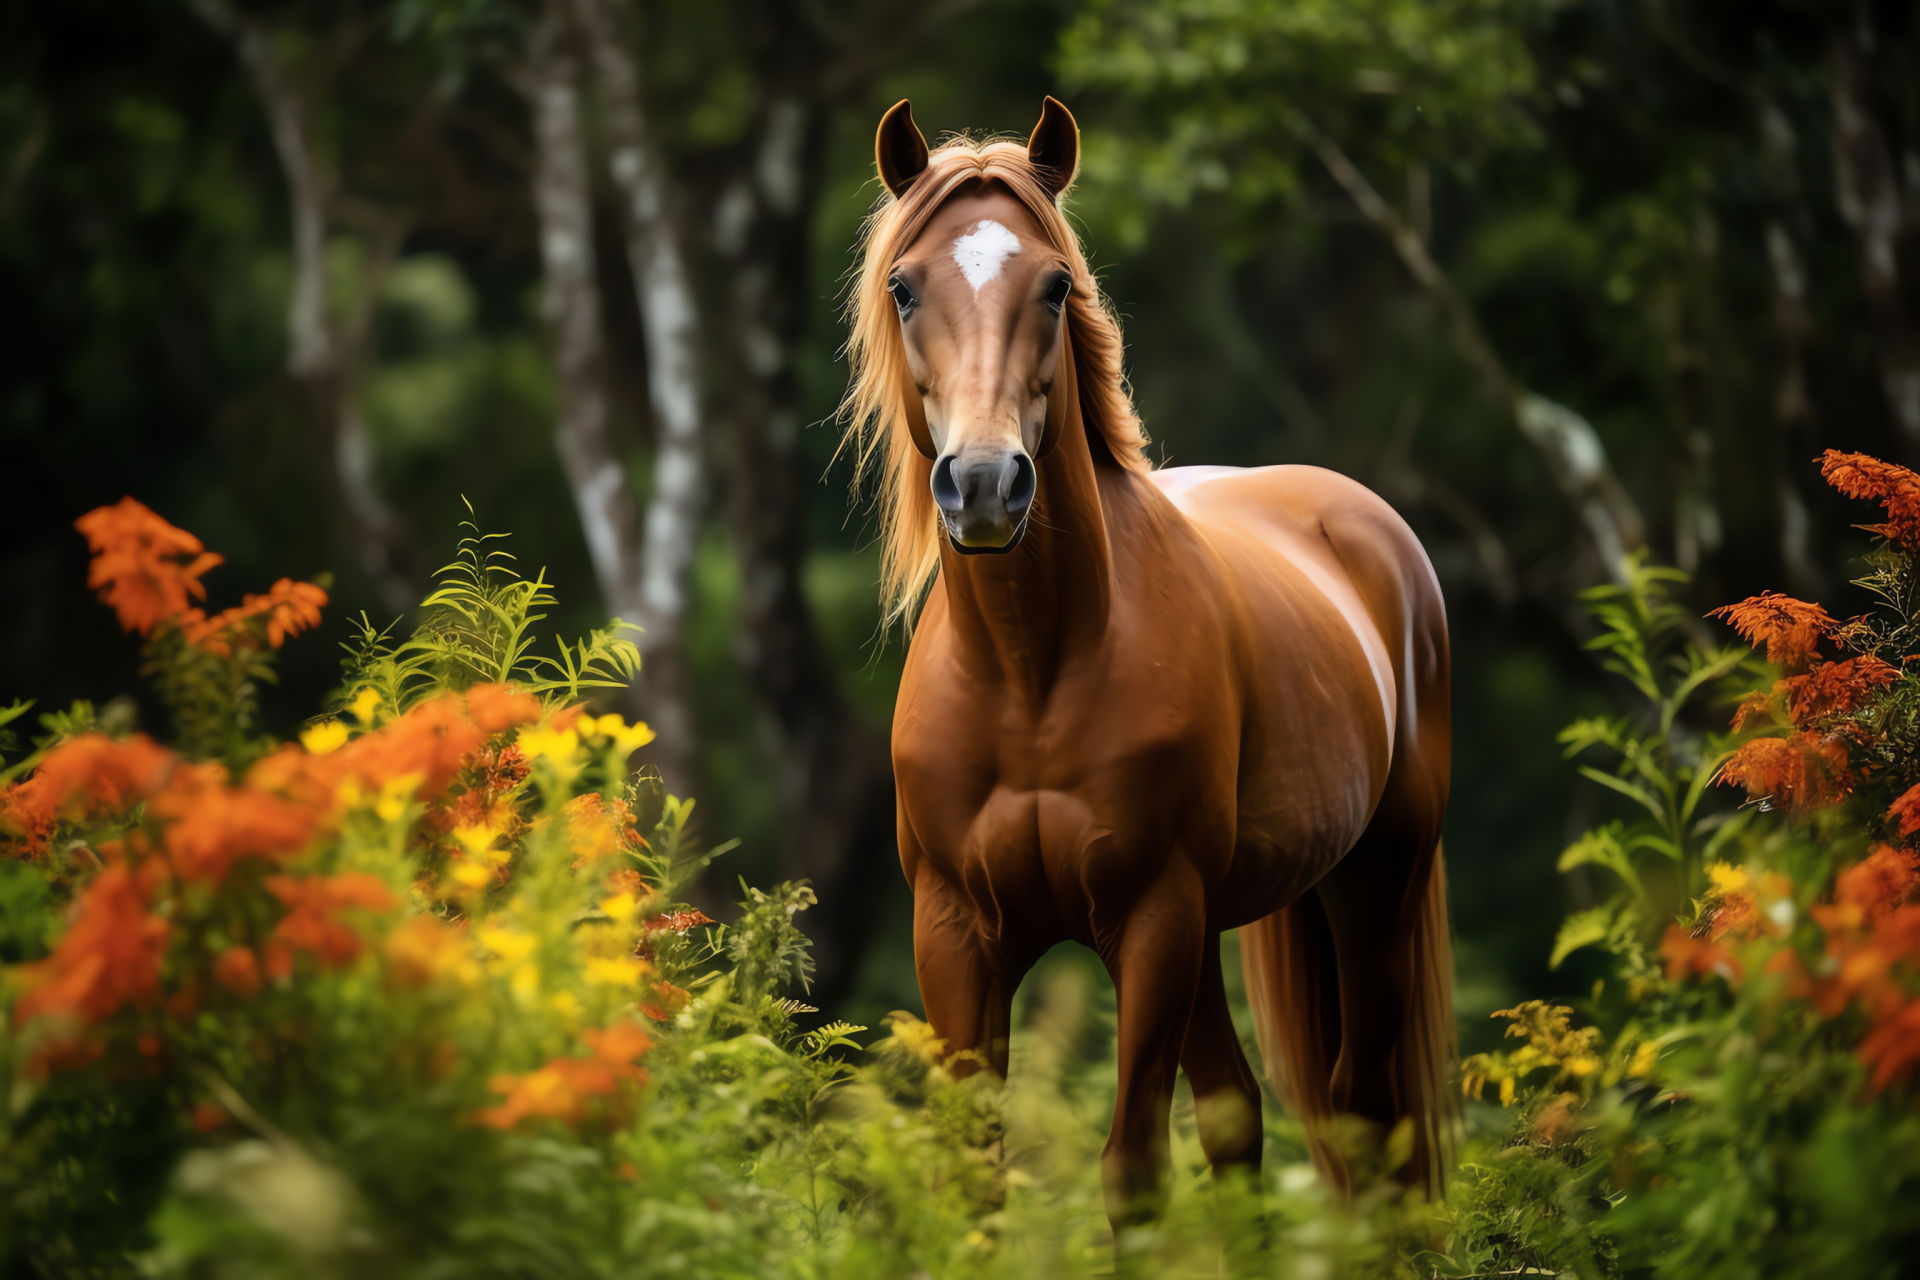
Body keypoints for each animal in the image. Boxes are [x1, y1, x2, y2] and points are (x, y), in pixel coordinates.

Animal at [840, 94, 1451, 1228]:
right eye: (904, 286)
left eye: (1054, 285)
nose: (983, 485)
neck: (1031, 671)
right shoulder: (956, 931)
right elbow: (977, 1175)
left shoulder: (1153, 917)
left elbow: (1133, 1170)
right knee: (1242, 1118)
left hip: (1373, 883)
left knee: (1365, 1115)